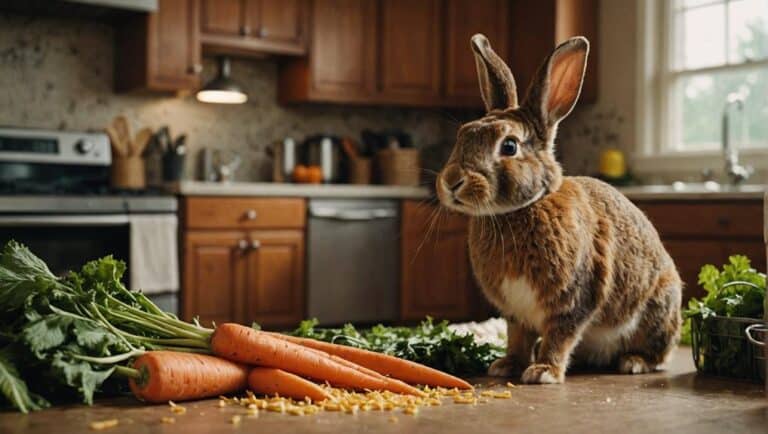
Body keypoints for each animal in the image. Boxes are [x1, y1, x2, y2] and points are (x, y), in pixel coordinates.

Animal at [435, 34, 682, 384]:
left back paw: (633, 362)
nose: (452, 181)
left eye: (509, 146)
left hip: (657, 311)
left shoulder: (573, 300)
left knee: (658, 353)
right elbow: (518, 338)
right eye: (462, 135)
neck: (521, 209)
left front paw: (543, 372)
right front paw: (506, 366)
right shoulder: (516, 312)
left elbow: (560, 336)